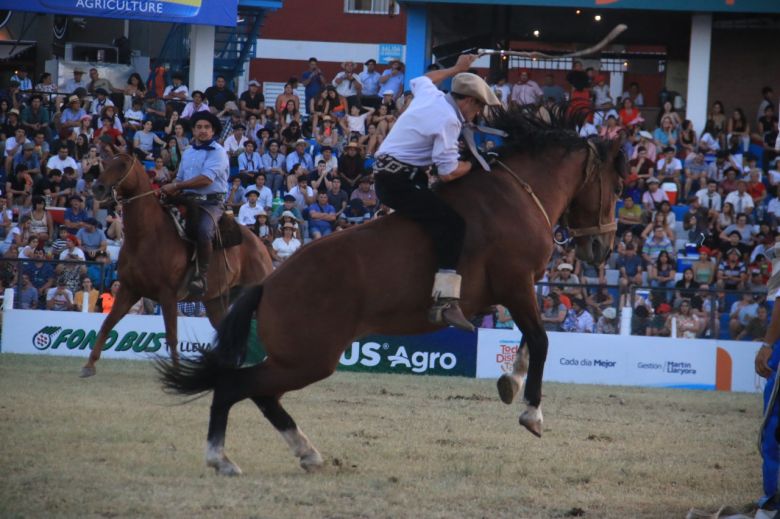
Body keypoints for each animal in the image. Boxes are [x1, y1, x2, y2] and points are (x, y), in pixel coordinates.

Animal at [80, 154, 274, 378]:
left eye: (122, 165)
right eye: (107, 163)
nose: (98, 188)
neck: (146, 236)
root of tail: (260, 246)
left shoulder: (168, 295)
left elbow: (172, 336)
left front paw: (176, 371)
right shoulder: (129, 290)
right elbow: (107, 323)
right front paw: (89, 365)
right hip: (215, 301)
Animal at [158, 107, 628, 478]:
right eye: (619, 187)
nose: (601, 248)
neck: (515, 194)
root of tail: (269, 283)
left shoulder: (515, 290)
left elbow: (530, 339)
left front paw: (509, 381)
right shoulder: (516, 283)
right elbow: (542, 340)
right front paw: (532, 412)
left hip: (299, 360)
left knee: (259, 393)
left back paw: (305, 453)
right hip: (309, 359)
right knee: (236, 386)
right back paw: (221, 458)